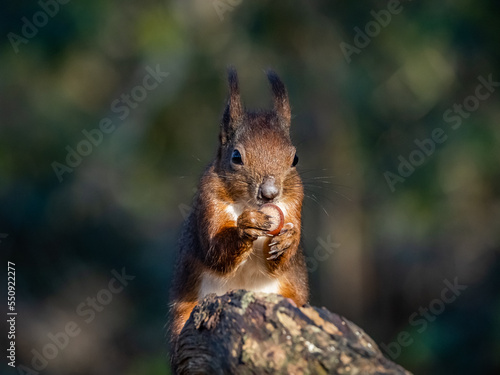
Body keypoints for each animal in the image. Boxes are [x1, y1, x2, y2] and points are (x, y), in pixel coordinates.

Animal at [168, 67, 308, 350]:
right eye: (236, 157)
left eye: (295, 158)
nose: (269, 194)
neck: (248, 204)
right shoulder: (209, 200)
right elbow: (216, 252)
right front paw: (247, 226)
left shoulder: (294, 203)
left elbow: (279, 263)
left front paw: (288, 239)